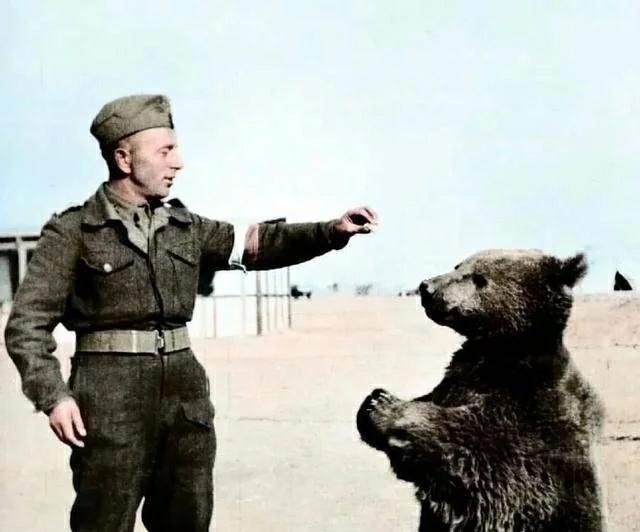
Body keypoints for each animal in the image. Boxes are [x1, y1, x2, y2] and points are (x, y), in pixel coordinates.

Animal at [357, 250, 605, 532]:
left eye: (479, 278)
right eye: (458, 265)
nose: (427, 287)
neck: (499, 352)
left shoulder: (529, 411)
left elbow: (470, 445)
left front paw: (382, 405)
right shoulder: (456, 377)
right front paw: (373, 401)